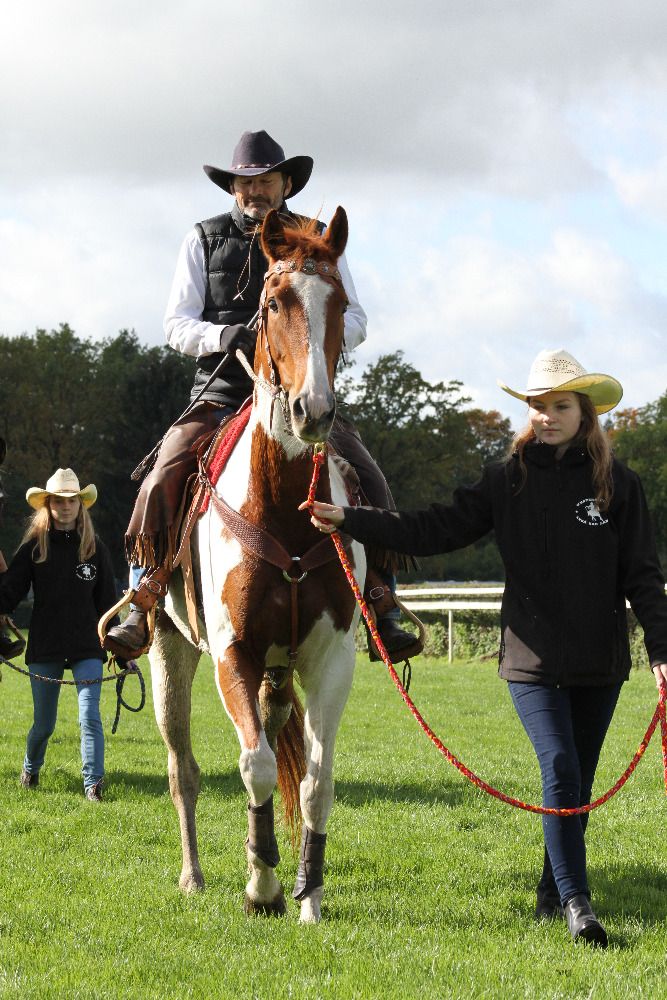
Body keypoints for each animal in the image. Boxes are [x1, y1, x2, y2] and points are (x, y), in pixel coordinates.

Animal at [150, 207, 366, 924]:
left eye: (340, 302)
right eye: (272, 302)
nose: (313, 411)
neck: (282, 513)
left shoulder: (331, 656)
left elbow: (317, 781)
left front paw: (309, 895)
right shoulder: (232, 653)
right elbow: (257, 766)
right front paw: (263, 886)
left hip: (278, 669)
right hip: (168, 649)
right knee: (183, 768)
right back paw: (191, 875)